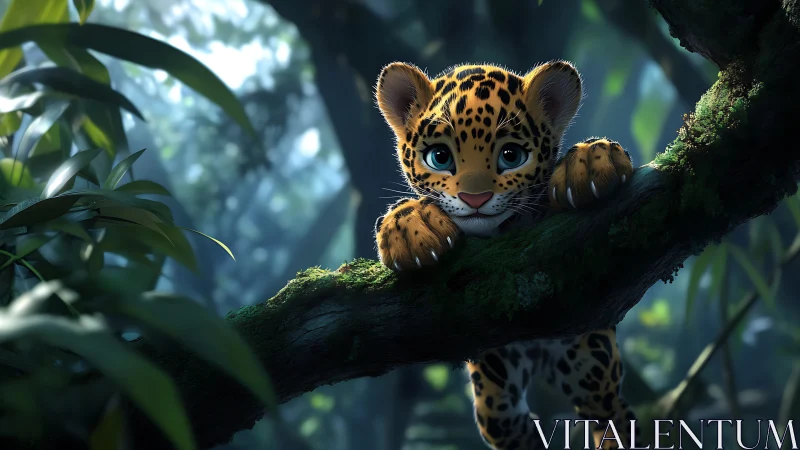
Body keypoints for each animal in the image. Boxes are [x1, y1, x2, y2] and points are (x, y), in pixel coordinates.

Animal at [372, 60, 639, 450]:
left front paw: (591, 160)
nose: (475, 198)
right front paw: (410, 228)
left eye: (511, 156)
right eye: (439, 157)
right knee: (500, 417)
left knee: (606, 405)